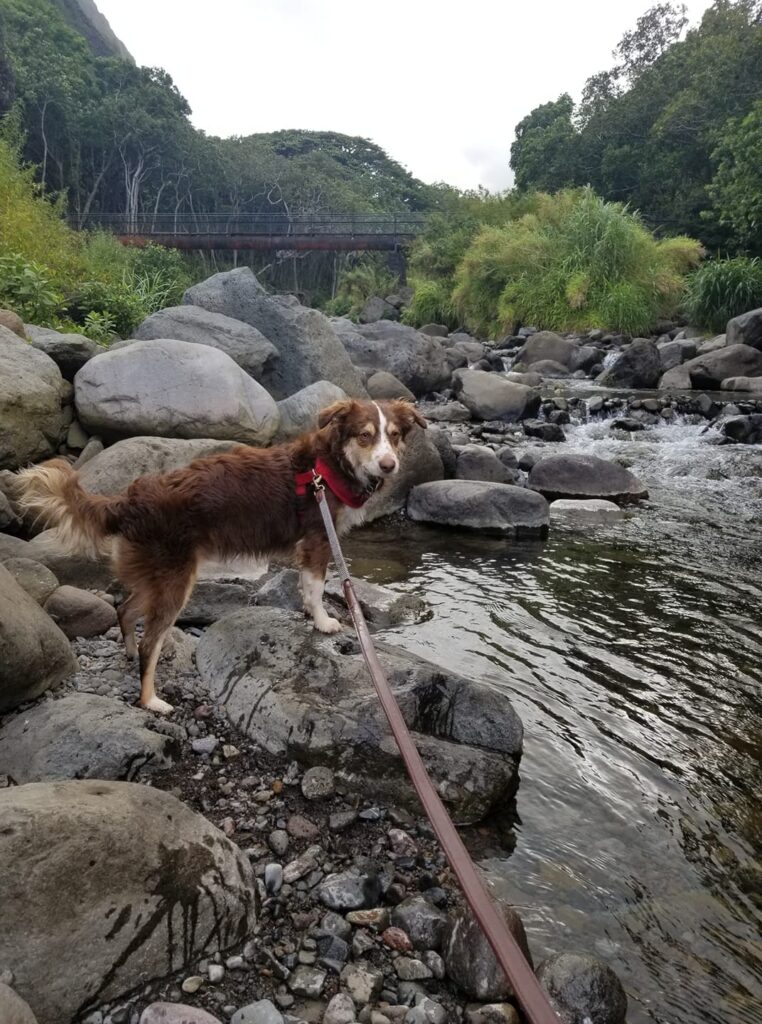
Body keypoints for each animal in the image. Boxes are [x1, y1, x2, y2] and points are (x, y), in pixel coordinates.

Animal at [17, 399, 426, 712]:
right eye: (365, 436)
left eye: (393, 436)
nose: (389, 465)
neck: (327, 466)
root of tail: (128, 500)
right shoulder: (316, 540)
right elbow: (314, 588)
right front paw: (323, 621)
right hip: (177, 580)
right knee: (151, 640)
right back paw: (151, 700)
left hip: (156, 576)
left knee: (126, 609)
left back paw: (130, 652)